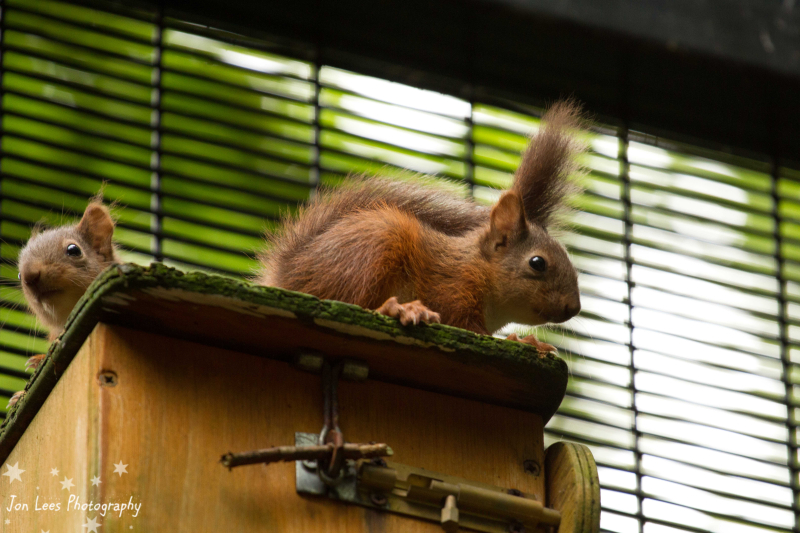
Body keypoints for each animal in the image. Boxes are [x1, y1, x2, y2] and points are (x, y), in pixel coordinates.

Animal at [257, 100, 585, 354]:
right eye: (537, 263)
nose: (574, 308)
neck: (477, 266)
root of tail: (285, 275)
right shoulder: (452, 289)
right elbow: (470, 328)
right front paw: (523, 341)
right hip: (369, 250)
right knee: (352, 301)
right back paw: (398, 309)